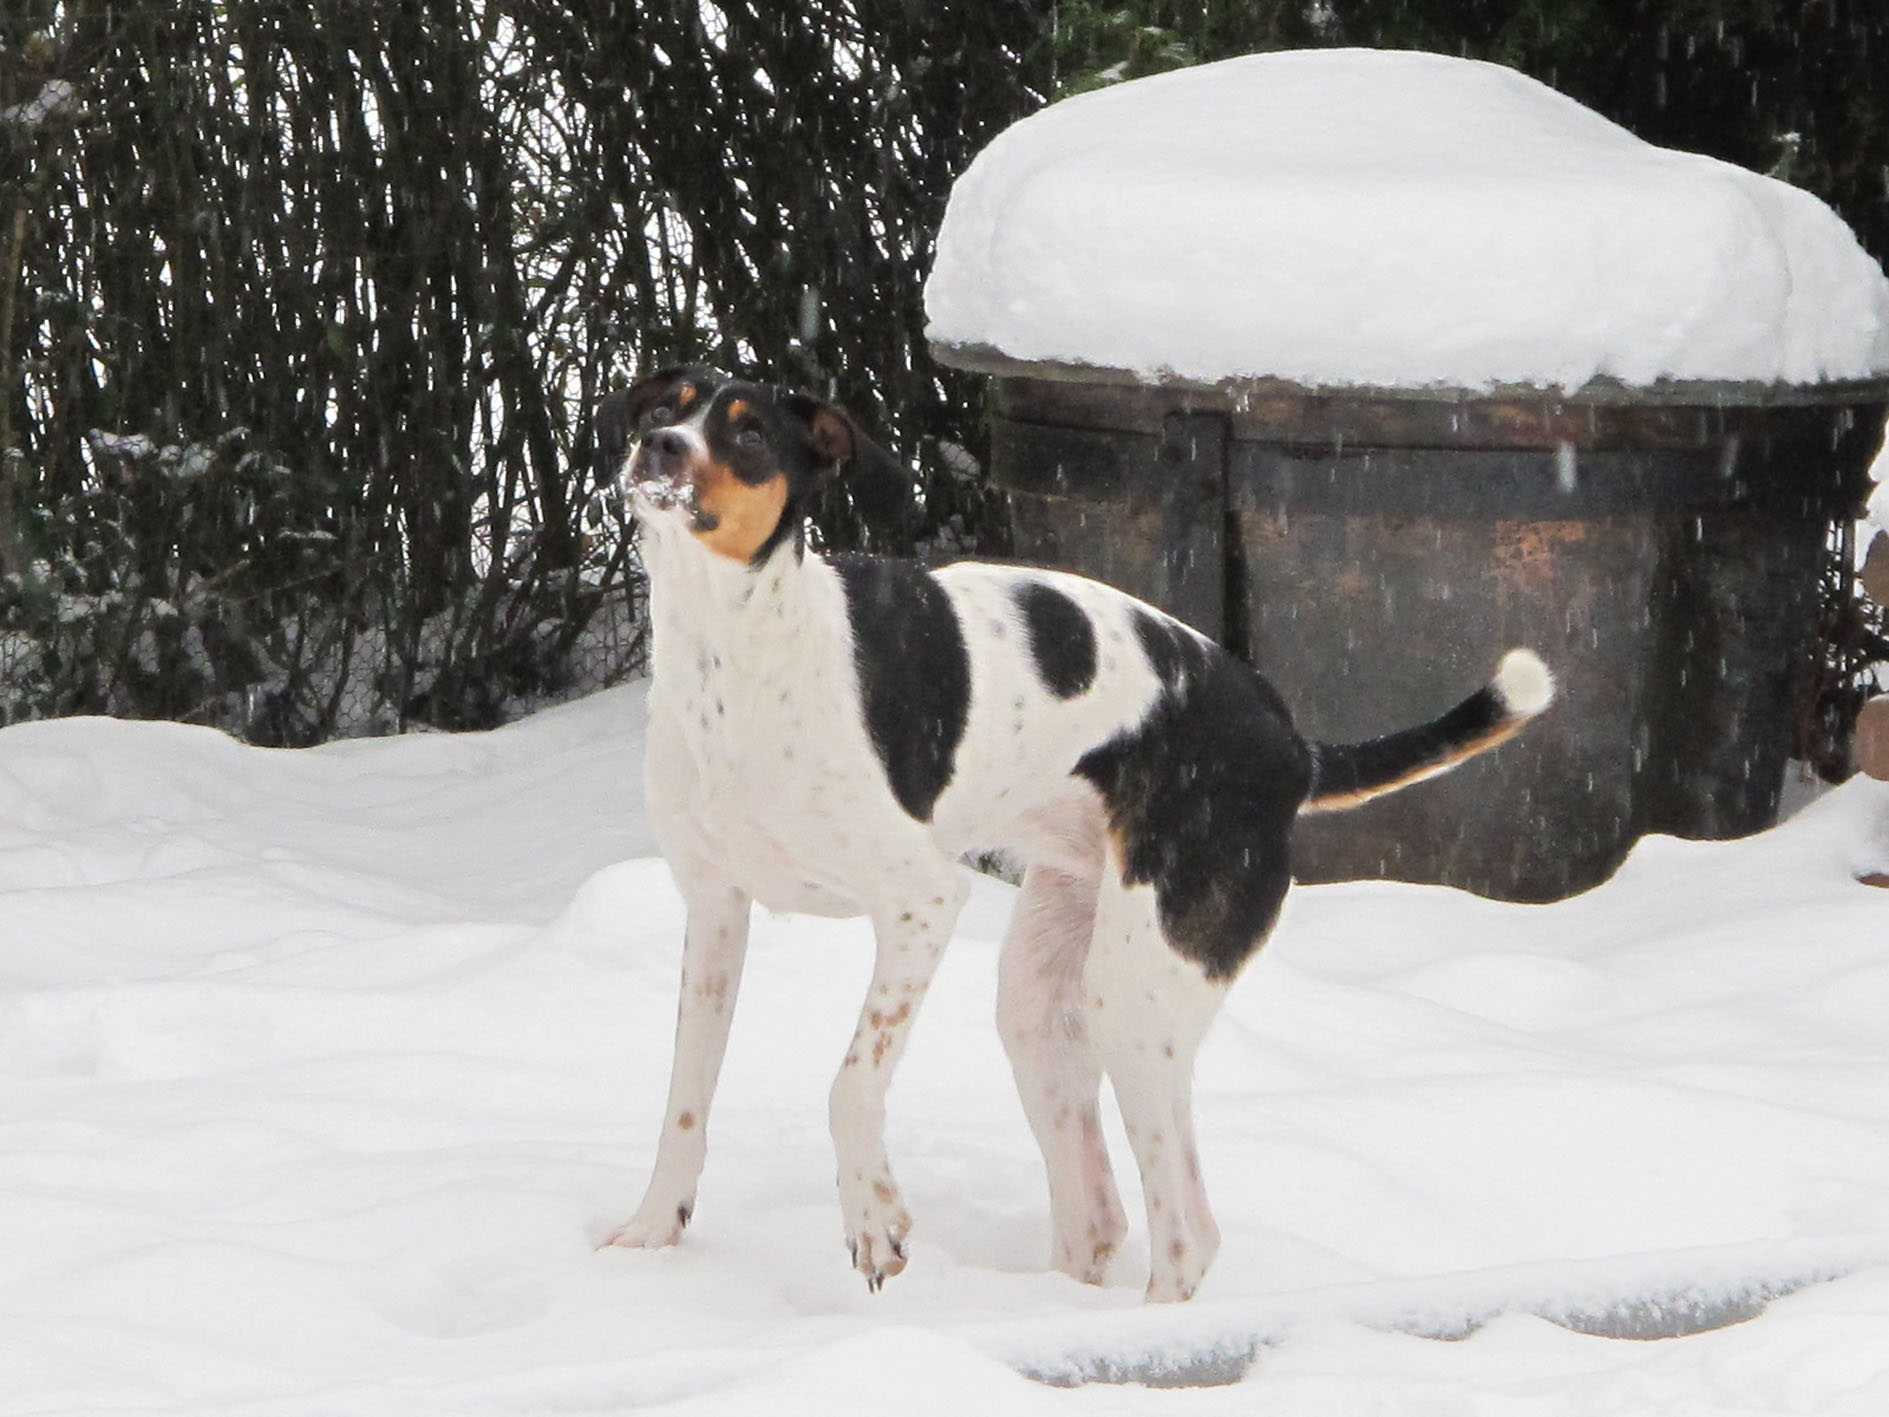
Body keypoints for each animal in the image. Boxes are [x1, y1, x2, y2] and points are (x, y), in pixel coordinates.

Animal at [596, 366, 1556, 1299]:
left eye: (750, 434)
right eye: (666, 407)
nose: (659, 446)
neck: (733, 663)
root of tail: (1292, 750)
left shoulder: (919, 902)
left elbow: (848, 1082)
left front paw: (873, 1219)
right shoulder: (715, 911)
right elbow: (684, 1098)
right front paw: (649, 1235)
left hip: (1131, 996)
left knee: (1187, 1235)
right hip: (1039, 1002)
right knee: (1097, 1215)